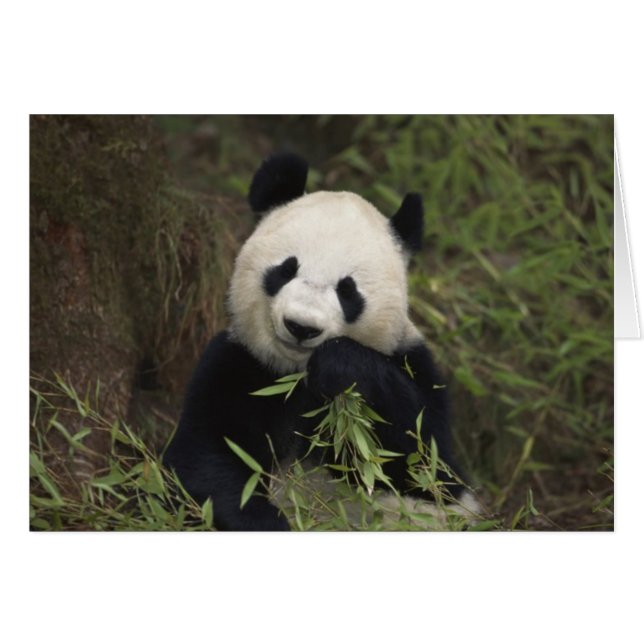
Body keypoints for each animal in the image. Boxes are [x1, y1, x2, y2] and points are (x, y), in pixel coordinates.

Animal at [164, 153, 474, 531]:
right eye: (286, 269)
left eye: (347, 290)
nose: (301, 326)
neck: (296, 376)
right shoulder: (239, 365)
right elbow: (206, 461)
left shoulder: (413, 362)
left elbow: (425, 461)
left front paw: (339, 365)